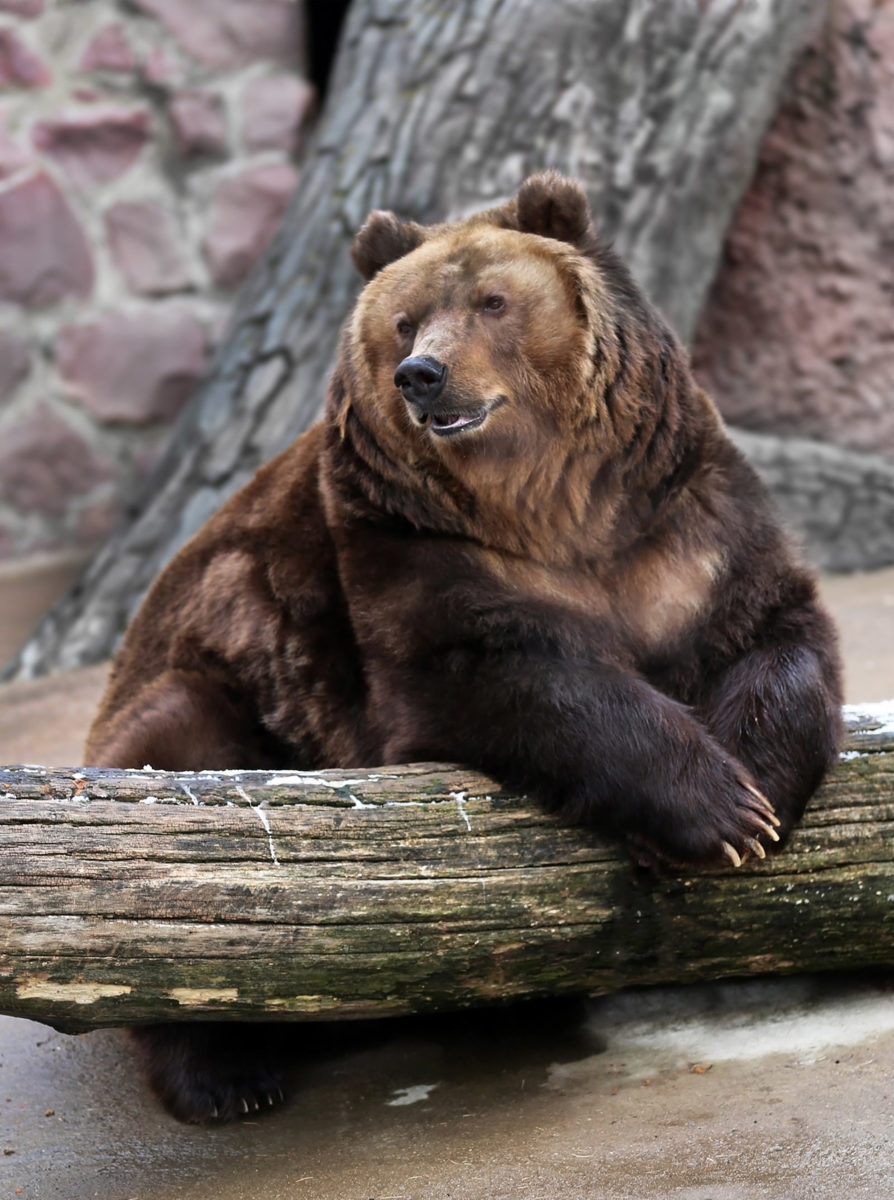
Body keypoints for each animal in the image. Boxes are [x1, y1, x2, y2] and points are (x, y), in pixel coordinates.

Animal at [85, 166, 844, 1113]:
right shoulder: (403, 549)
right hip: (208, 682)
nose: (422, 374)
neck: (549, 506)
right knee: (178, 829)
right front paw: (711, 811)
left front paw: (756, 797)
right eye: (404, 321)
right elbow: (508, 676)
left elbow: (777, 630)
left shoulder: (683, 528)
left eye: (492, 301)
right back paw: (226, 1076)